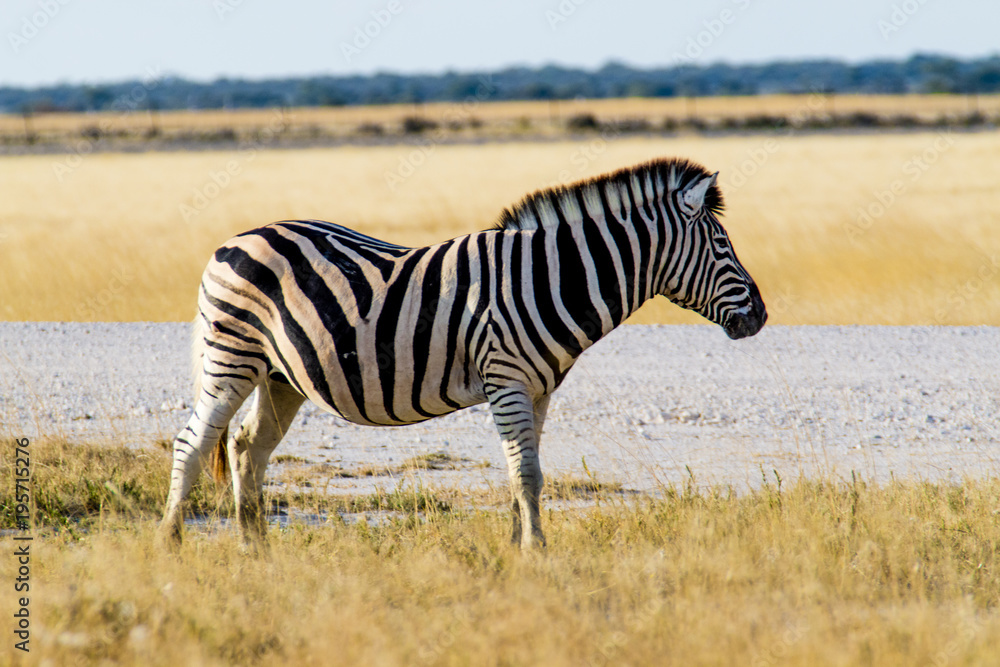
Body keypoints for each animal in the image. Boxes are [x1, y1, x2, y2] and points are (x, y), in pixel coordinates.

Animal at [157, 157, 766, 551]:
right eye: (722, 245)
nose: (760, 316)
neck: (552, 278)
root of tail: (234, 239)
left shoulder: (538, 390)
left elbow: (525, 473)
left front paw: (518, 545)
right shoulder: (506, 378)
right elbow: (526, 473)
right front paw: (536, 553)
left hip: (281, 375)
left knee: (245, 447)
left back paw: (254, 548)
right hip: (231, 357)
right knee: (193, 444)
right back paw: (171, 544)